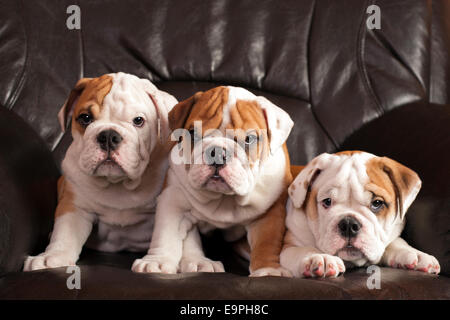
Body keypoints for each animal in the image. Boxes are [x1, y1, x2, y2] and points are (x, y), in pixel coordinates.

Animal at [23, 72, 178, 270]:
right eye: (85, 118)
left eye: (138, 121)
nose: (108, 136)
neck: (118, 184)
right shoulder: (75, 205)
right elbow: (65, 232)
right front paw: (52, 256)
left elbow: (167, 233)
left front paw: (157, 261)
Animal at [133, 86, 296, 276]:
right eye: (193, 133)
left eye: (249, 139)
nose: (217, 152)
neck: (224, 198)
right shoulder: (172, 198)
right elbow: (165, 233)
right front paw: (157, 262)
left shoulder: (270, 212)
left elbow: (267, 243)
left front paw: (268, 270)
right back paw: (199, 263)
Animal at [282, 150, 440, 278]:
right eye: (327, 201)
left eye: (377, 203)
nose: (348, 224)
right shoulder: (288, 246)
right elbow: (302, 250)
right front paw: (319, 257)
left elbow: (395, 242)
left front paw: (416, 254)